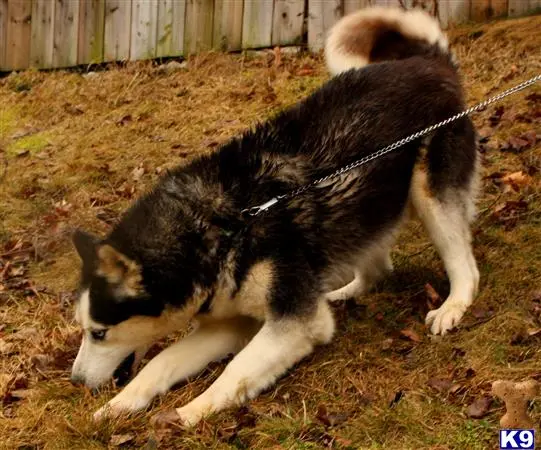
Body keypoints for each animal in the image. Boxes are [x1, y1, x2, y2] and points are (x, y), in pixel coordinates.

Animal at [70, 7, 476, 426]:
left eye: (98, 333)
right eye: (84, 330)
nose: (75, 381)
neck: (219, 228)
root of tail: (426, 61)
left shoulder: (294, 323)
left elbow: (234, 371)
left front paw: (189, 412)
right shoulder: (230, 322)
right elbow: (160, 363)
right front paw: (121, 404)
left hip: (432, 196)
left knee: (465, 265)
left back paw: (453, 306)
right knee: (377, 268)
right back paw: (345, 290)